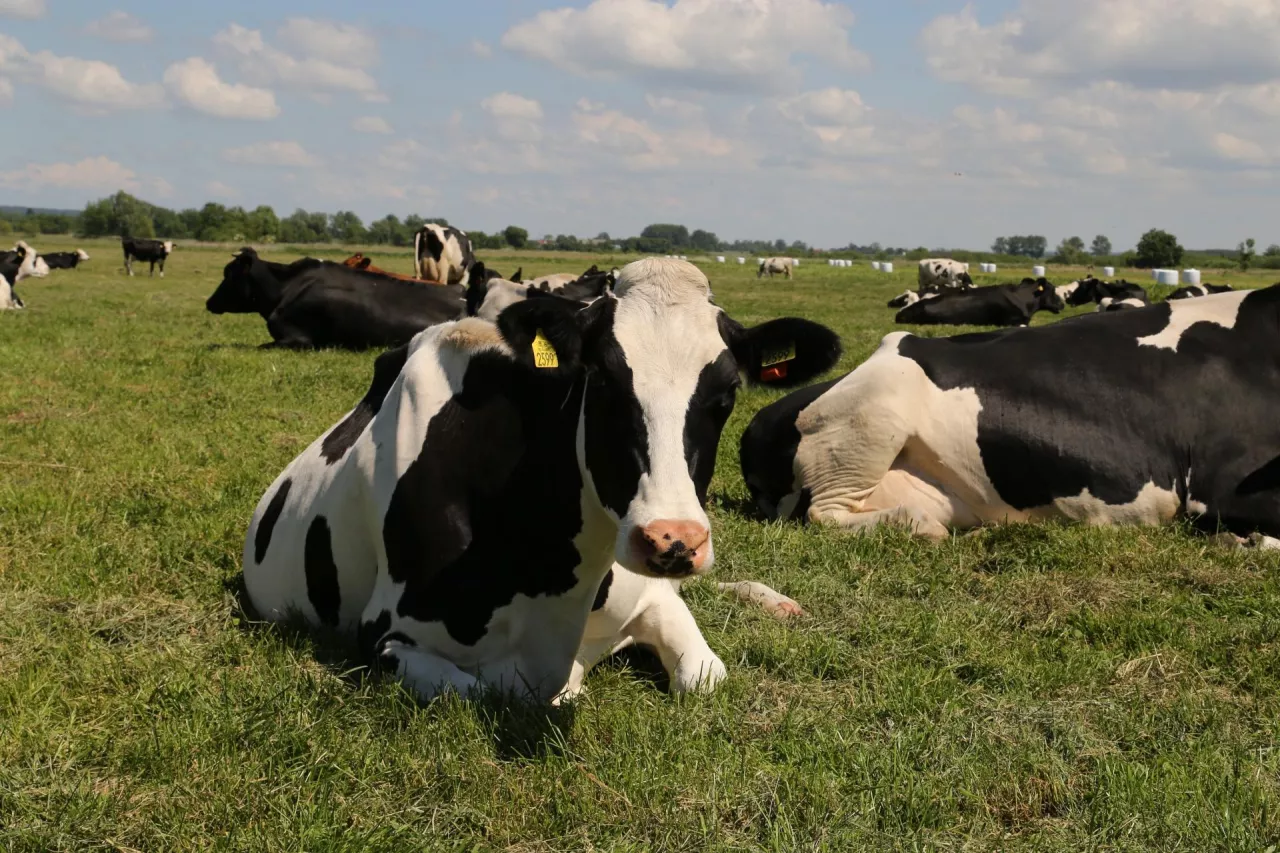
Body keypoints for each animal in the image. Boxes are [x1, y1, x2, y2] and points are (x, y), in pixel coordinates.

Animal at [240, 256, 844, 701]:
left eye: (727, 394)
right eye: (601, 380)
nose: (673, 541)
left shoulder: (654, 596)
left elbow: (704, 677)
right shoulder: (386, 639)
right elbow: (495, 687)